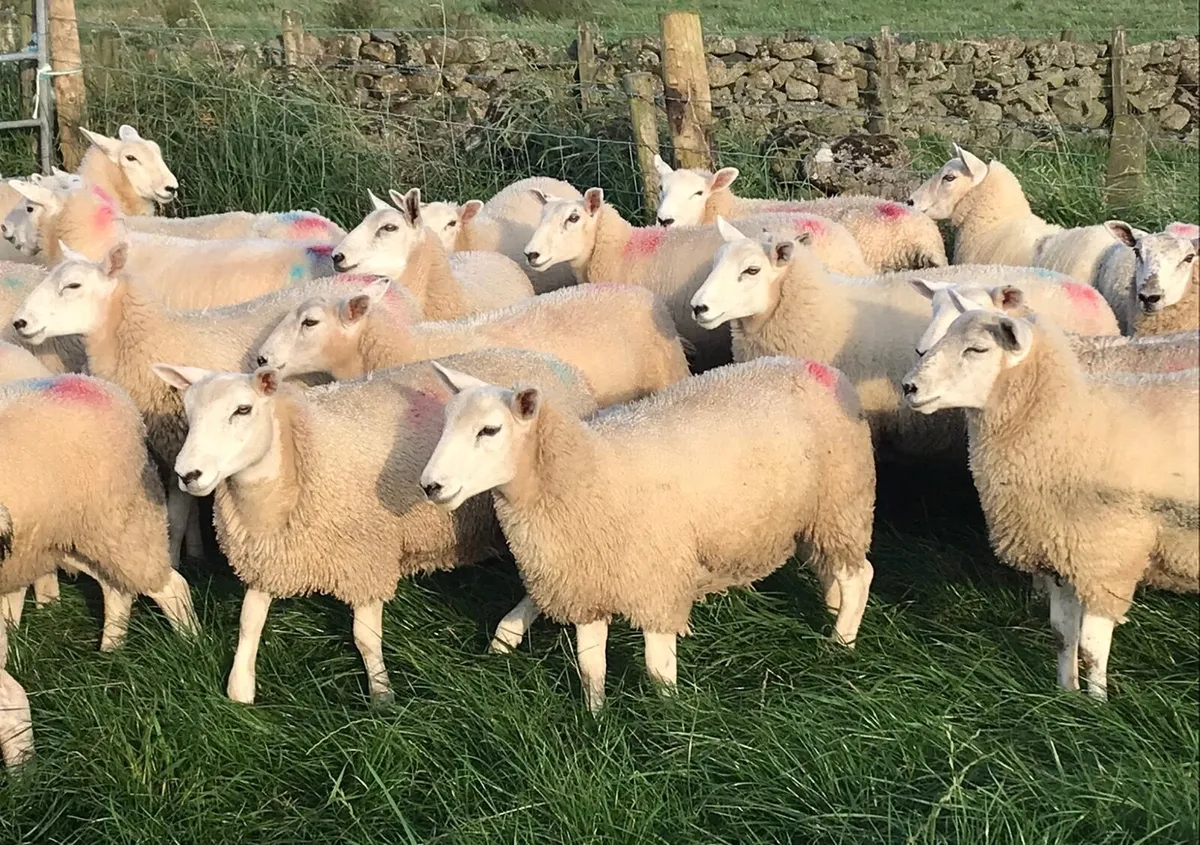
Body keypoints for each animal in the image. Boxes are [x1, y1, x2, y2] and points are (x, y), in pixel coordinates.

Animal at [10, 243, 396, 564]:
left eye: (73, 286)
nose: (19, 322)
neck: (153, 341)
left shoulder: (180, 442)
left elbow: (177, 517)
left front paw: (175, 562)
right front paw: (195, 554)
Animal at [151, 348, 598, 705]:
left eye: (242, 410)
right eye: (188, 414)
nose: (187, 474)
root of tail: (552, 361)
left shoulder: (366, 559)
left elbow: (365, 638)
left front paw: (382, 698)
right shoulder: (270, 556)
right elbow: (249, 623)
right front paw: (239, 690)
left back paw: (507, 634)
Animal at [419, 355, 876, 711]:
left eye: (489, 430)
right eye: (443, 425)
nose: (430, 485)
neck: (587, 470)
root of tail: (823, 369)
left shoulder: (656, 584)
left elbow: (658, 671)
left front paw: (670, 721)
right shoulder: (586, 584)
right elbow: (591, 666)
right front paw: (596, 718)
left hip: (841, 503)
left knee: (859, 576)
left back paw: (840, 643)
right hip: (810, 519)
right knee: (831, 568)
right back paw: (833, 610)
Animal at [900, 310, 1198, 700]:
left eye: (977, 349)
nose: (908, 387)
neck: (1067, 417)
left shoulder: (1106, 557)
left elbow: (1090, 645)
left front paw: (1097, 703)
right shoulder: (1060, 552)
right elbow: (1062, 634)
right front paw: (1066, 694)